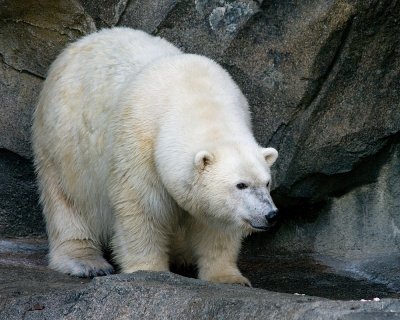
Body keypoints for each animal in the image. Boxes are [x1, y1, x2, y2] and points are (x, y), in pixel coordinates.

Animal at [32, 28, 278, 286]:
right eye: (241, 185)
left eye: (267, 183)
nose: (270, 215)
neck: (198, 98)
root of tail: (79, 43)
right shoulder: (138, 141)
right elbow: (142, 207)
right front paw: (149, 271)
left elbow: (216, 225)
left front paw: (229, 278)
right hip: (63, 142)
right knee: (66, 199)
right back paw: (86, 262)